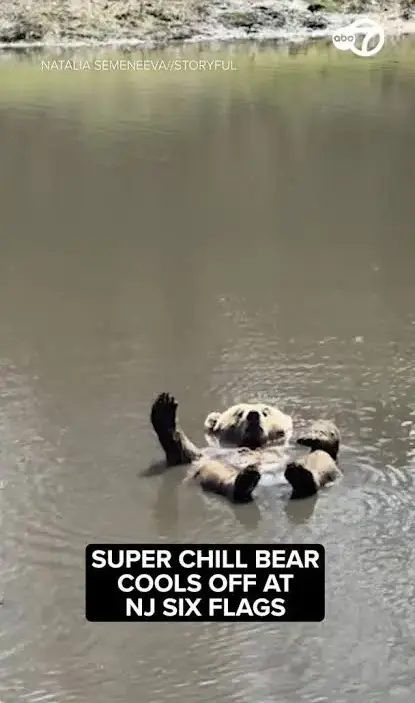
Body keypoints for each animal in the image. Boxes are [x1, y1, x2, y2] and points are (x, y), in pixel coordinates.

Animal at [150, 393, 342, 503]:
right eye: (238, 412)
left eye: (266, 411)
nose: (253, 415)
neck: (255, 446)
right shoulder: (211, 453)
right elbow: (187, 455)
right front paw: (164, 410)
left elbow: (327, 445)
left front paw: (314, 435)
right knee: (215, 470)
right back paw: (245, 481)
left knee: (320, 458)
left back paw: (301, 477)